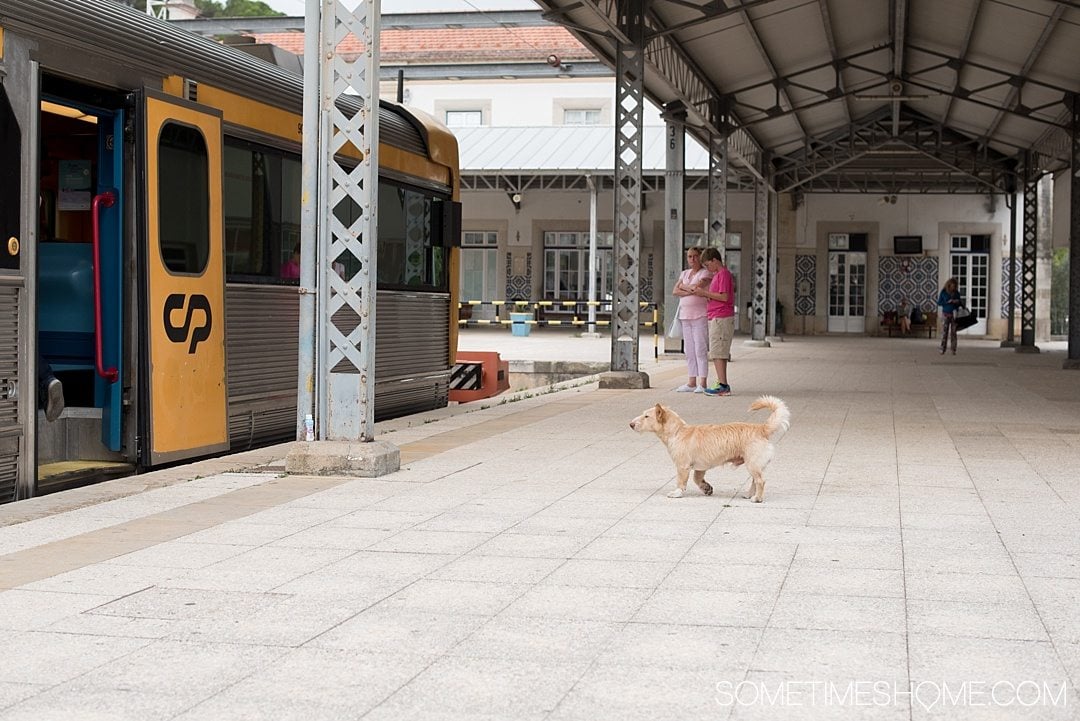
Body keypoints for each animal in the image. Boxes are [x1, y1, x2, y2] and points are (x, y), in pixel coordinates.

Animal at [630, 395, 790, 500]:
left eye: (646, 416)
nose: (631, 424)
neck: (678, 431)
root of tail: (762, 428)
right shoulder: (701, 468)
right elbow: (697, 479)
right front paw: (706, 488)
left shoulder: (682, 466)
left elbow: (681, 481)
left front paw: (677, 493)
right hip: (754, 465)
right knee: (754, 481)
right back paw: (750, 494)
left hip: (752, 464)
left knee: (760, 481)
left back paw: (757, 498)